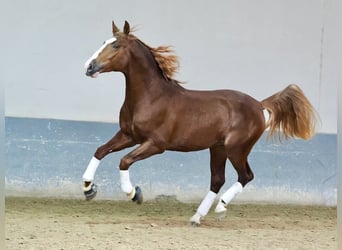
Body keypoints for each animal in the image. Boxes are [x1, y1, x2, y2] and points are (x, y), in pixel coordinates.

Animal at [81, 20, 316, 226]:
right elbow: (100, 150)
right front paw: (88, 189)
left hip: (237, 149)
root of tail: (259, 105)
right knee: (217, 180)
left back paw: (220, 207)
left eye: (116, 45)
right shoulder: (129, 135)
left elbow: (124, 161)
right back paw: (196, 217)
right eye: (104, 41)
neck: (151, 97)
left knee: (246, 175)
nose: (89, 67)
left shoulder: (156, 144)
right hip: (218, 148)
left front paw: (134, 194)